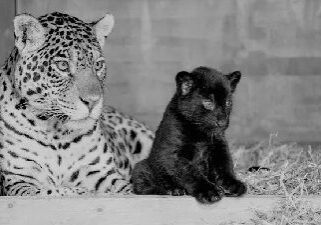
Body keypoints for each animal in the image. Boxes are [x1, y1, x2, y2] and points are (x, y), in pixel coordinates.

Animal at [0, 11, 154, 196]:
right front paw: (82, 192)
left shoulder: (100, 172)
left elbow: (126, 190)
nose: (93, 101)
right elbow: (56, 192)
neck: (56, 133)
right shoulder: (19, 179)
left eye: (98, 65)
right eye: (63, 65)